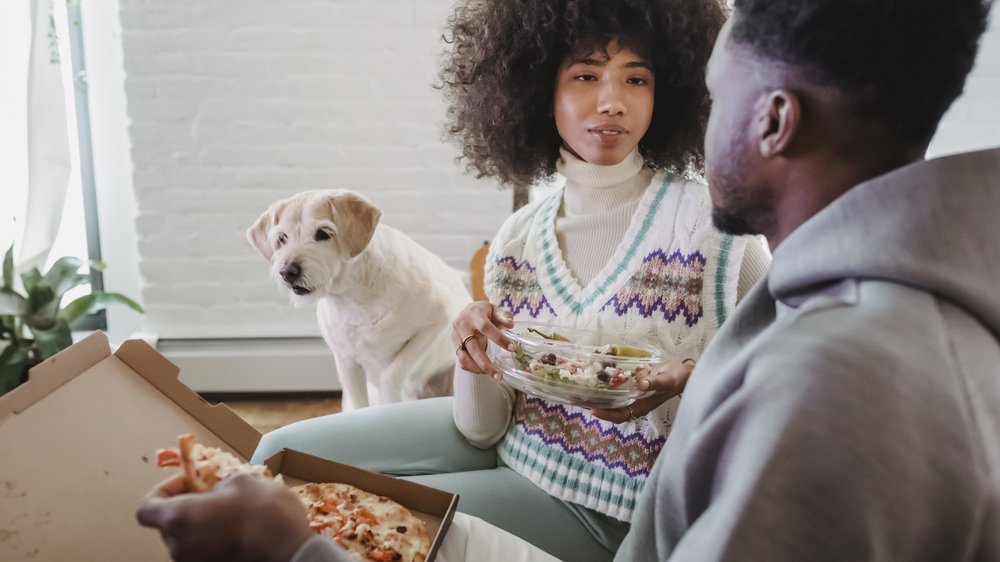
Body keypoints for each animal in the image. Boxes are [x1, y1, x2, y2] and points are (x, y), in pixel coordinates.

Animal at [248, 188, 470, 406]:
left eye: (323, 233)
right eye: (282, 238)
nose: (287, 272)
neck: (353, 296)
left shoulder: (438, 322)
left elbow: (392, 373)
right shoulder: (346, 362)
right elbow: (357, 402)